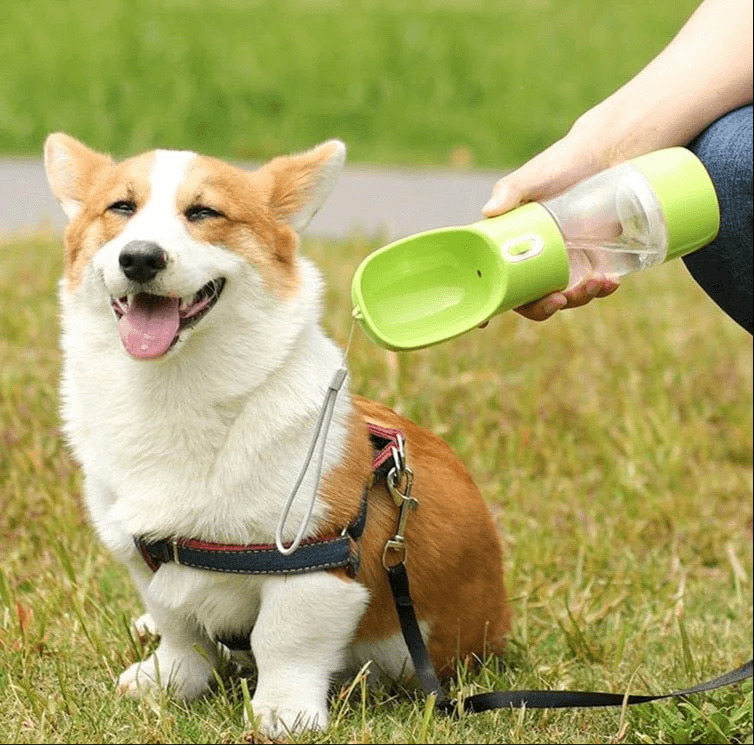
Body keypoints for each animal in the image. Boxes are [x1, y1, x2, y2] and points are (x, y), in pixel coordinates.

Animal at [42, 135, 512, 740]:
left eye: (204, 212)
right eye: (121, 207)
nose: (140, 258)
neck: (174, 392)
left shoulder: (314, 564)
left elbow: (283, 640)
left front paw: (283, 714)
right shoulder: (144, 556)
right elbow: (180, 629)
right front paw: (168, 681)